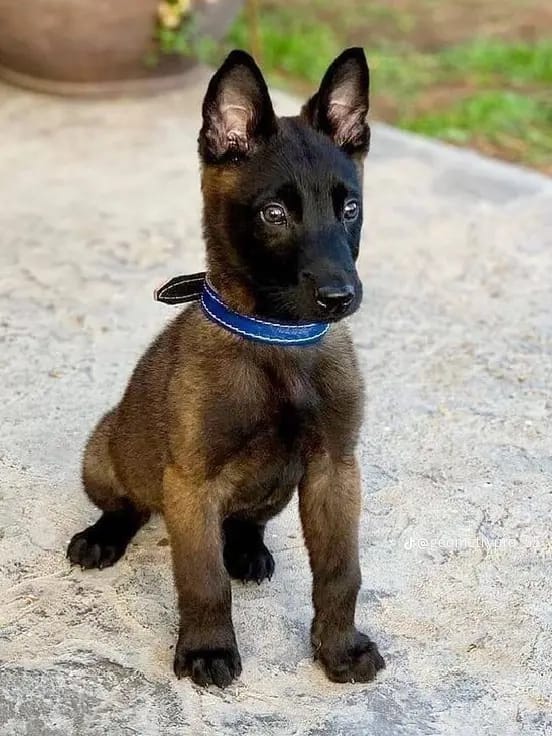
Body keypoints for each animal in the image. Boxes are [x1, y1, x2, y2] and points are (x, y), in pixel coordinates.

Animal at [67, 47, 385, 688]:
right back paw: (103, 537)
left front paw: (339, 648)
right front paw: (207, 649)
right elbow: (203, 580)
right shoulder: (191, 483)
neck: (280, 341)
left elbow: (342, 571)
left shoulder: (335, 469)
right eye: (273, 214)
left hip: (279, 487)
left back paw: (246, 549)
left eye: (350, 209)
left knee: (245, 521)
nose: (340, 297)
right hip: (105, 450)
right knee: (127, 505)